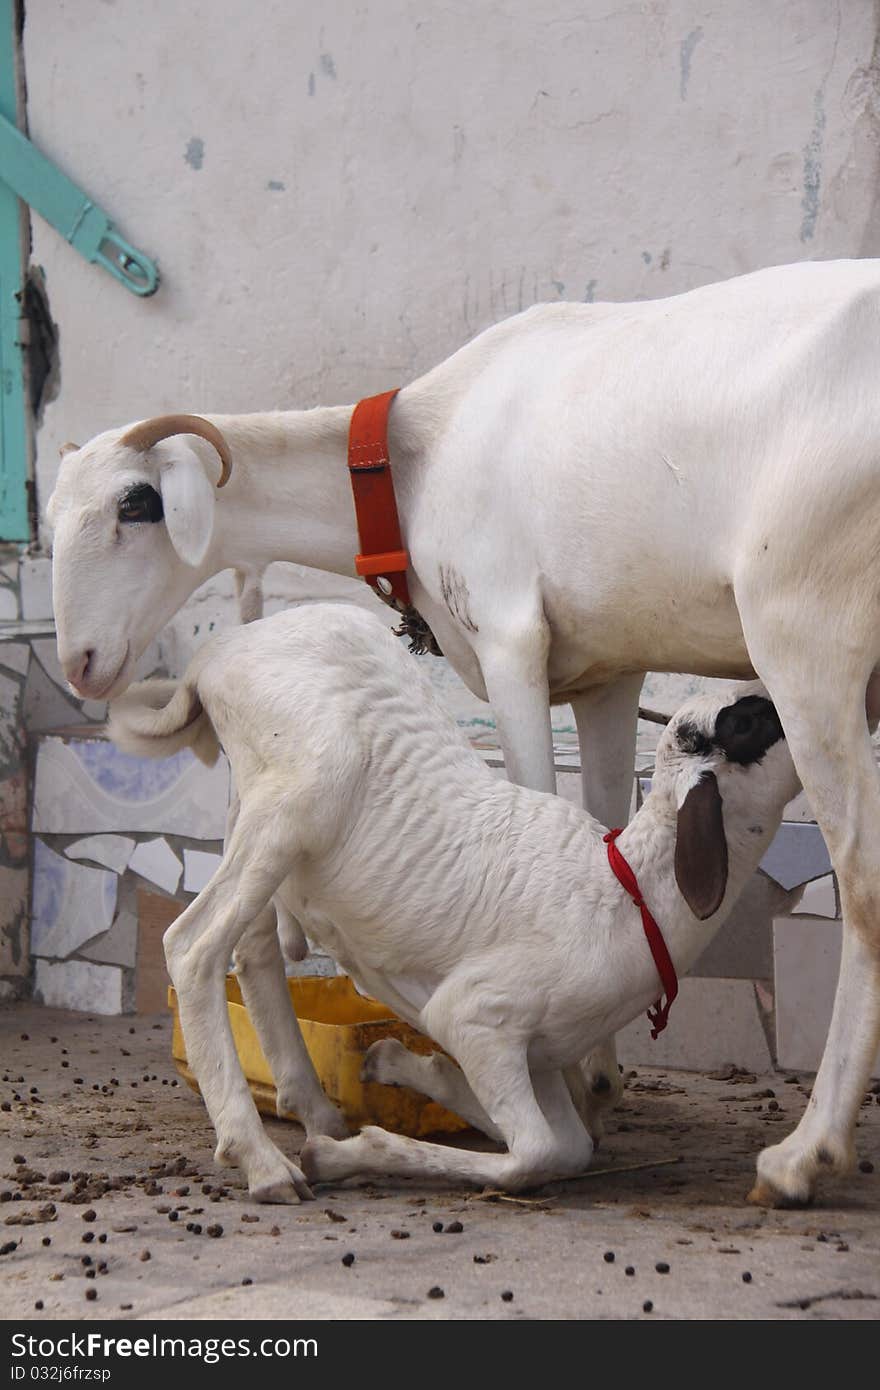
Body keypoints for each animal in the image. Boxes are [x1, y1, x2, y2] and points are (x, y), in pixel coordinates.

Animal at [106, 603, 800, 1200]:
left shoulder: (539, 1056)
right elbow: (539, 1153)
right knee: (192, 946)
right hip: (300, 794)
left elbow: (572, 1144)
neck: (632, 895)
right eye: (749, 721)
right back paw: (265, 1161)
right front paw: (352, 1154)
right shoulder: (478, 1015)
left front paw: (400, 1068)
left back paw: (315, 1111)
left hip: (256, 806)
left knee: (251, 949)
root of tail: (220, 650)